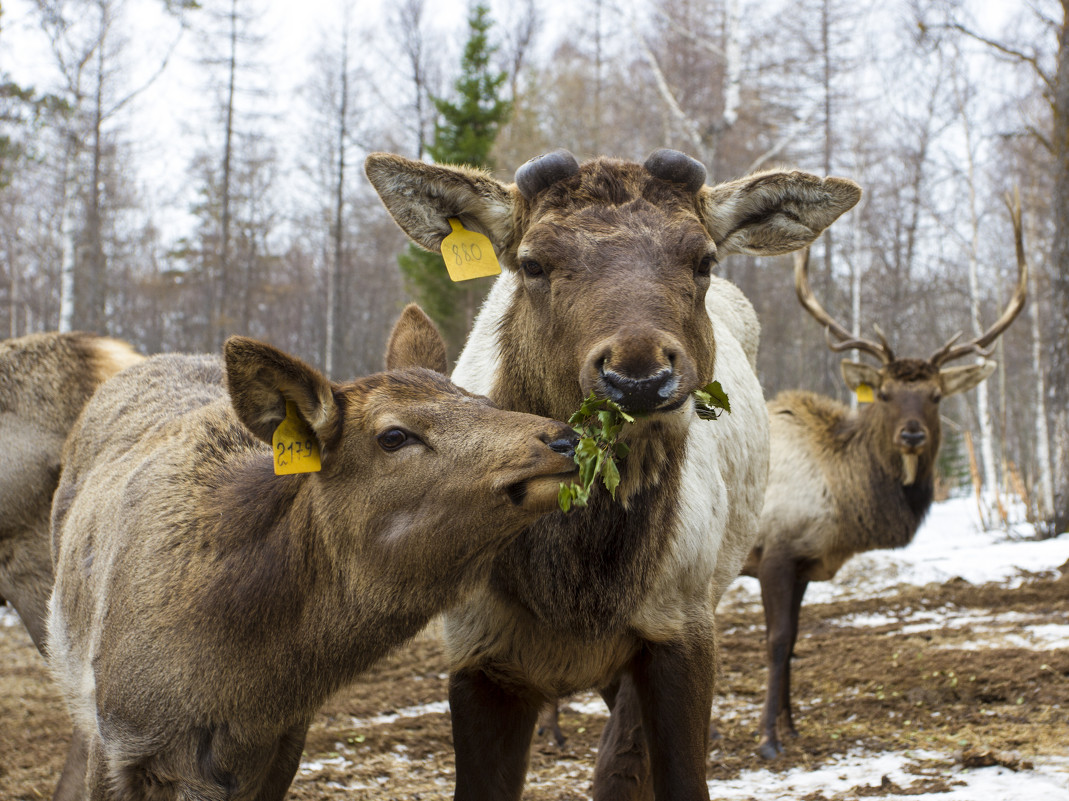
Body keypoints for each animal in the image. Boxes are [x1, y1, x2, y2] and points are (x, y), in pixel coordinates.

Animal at [367, 146, 859, 795]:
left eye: (703, 259)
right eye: (533, 263)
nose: (639, 377)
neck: (577, 590)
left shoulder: (680, 628)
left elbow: (651, 776)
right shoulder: (476, 654)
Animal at [744, 198, 1026, 757]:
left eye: (936, 395)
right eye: (886, 393)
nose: (912, 436)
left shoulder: (804, 564)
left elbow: (795, 642)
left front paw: (792, 727)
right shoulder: (776, 553)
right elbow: (777, 641)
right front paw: (768, 739)